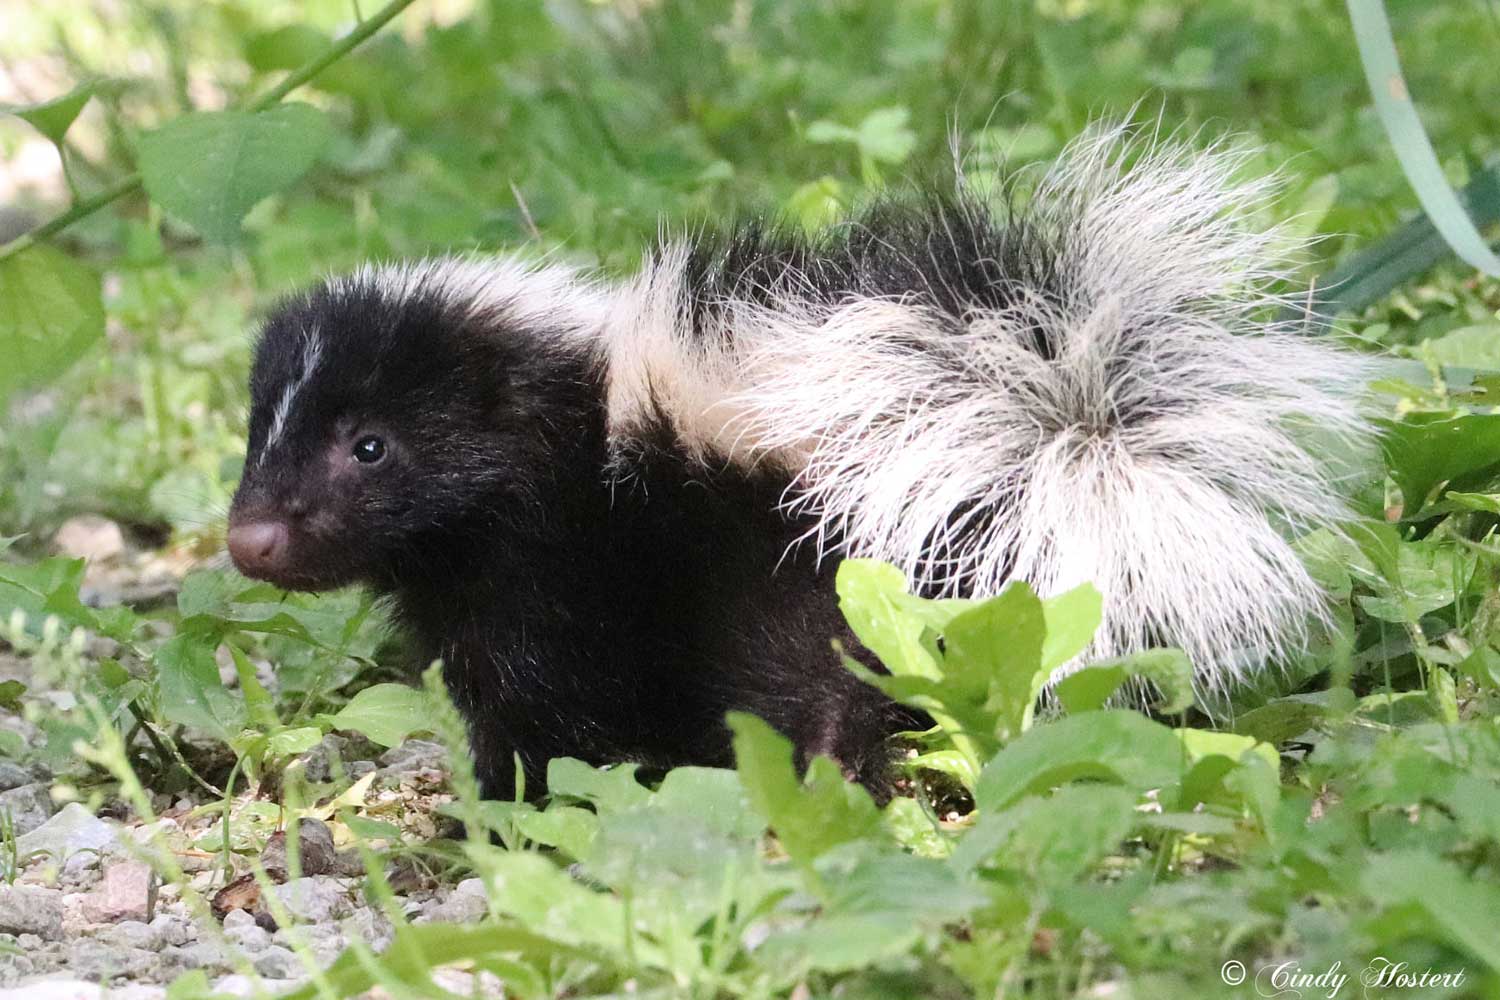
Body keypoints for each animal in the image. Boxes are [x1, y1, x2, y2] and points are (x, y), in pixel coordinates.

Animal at [225, 127, 1374, 797]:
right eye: (258, 435)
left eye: (371, 446)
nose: (252, 538)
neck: (571, 433)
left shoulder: (556, 582)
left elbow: (538, 714)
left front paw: (502, 813)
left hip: (819, 574)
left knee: (831, 696)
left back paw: (824, 788)